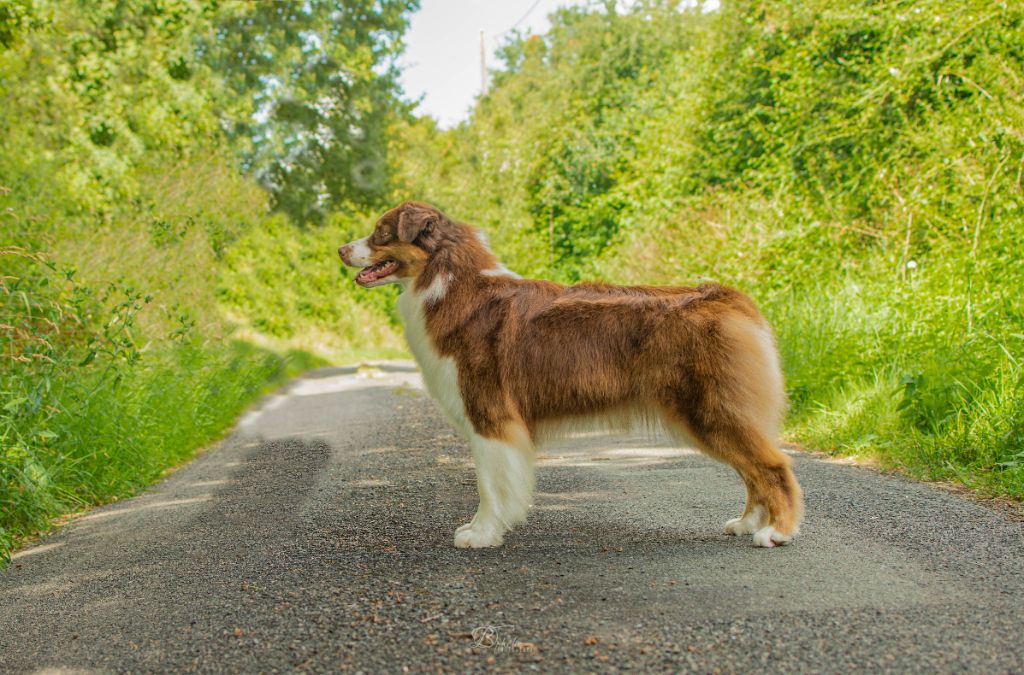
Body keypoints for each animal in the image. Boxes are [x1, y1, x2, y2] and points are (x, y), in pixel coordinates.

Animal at [339, 200, 802, 549]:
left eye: (381, 232)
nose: (341, 250)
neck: (447, 280)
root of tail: (729, 297)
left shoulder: (489, 415)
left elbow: (489, 484)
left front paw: (482, 533)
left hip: (711, 410)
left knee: (773, 466)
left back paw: (775, 533)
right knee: (752, 471)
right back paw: (747, 523)